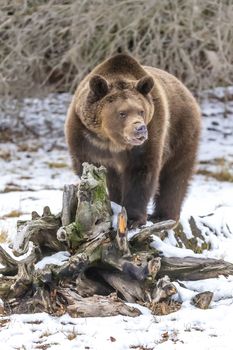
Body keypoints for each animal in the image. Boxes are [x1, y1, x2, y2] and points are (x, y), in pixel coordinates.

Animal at [64, 54, 201, 227]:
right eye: (122, 113)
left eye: (141, 111)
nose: (140, 128)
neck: (112, 141)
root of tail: (185, 89)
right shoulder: (85, 138)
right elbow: (88, 167)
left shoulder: (150, 136)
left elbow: (141, 172)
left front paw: (133, 218)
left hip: (180, 132)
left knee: (176, 175)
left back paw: (164, 216)